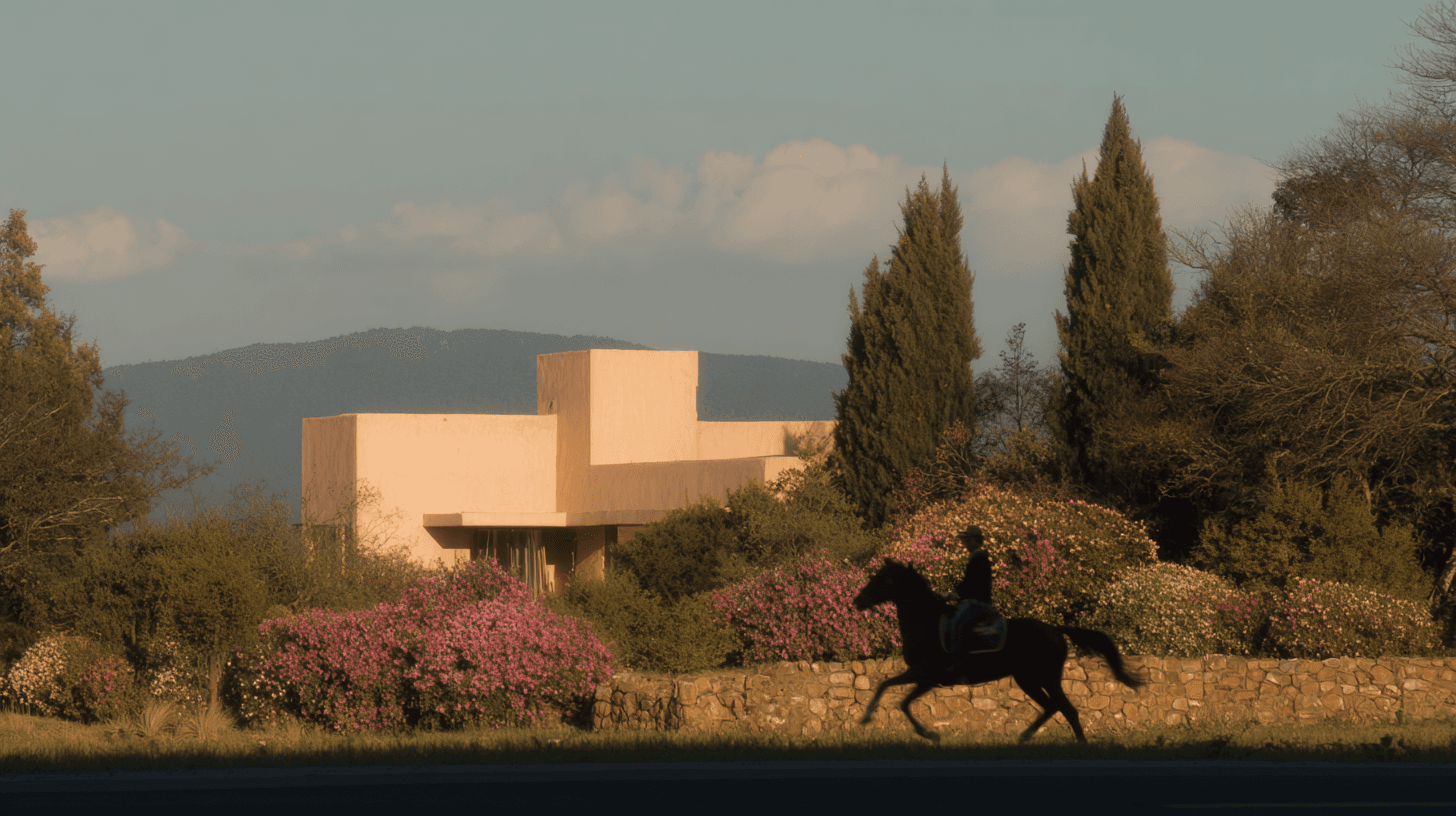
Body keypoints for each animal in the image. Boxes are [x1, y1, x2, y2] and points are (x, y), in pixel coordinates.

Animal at [853, 558, 1143, 744]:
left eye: (883, 579)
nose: (857, 601)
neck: (925, 622)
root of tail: (1054, 629)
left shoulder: (926, 675)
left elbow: (895, 696)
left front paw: (925, 733)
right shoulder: (926, 678)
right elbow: (892, 692)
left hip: (1046, 678)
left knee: (1068, 710)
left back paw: (1080, 744)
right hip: (1028, 680)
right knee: (1051, 707)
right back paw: (1025, 736)